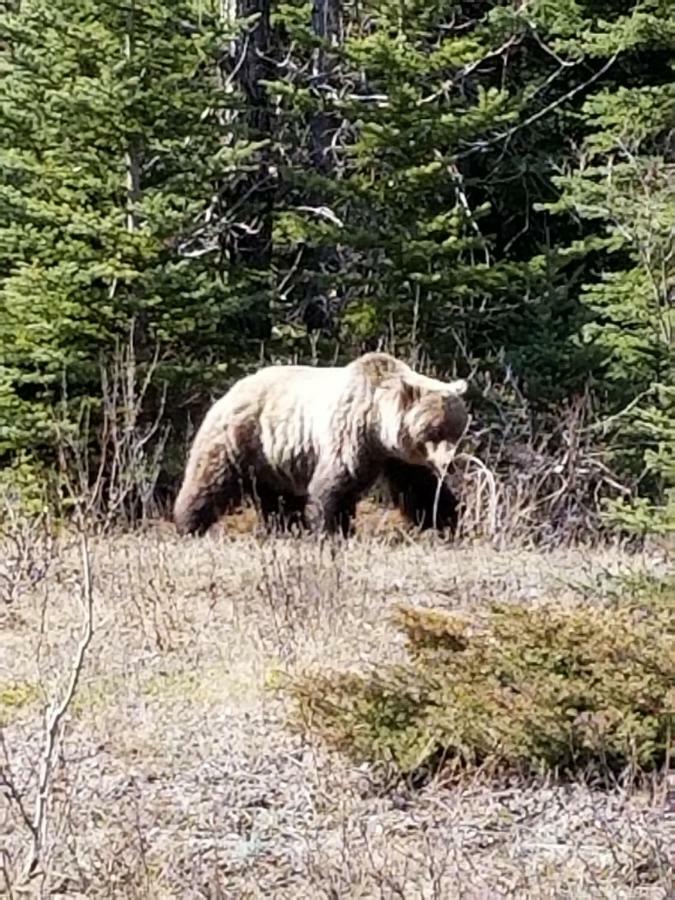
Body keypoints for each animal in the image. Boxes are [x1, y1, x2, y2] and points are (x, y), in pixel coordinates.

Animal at [174, 350, 468, 536]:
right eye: (435, 430)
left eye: (457, 429)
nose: (450, 462)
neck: (377, 425)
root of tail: (231, 390)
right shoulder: (351, 433)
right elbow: (336, 486)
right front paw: (334, 529)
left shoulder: (398, 456)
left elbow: (421, 489)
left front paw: (448, 523)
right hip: (241, 438)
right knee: (211, 481)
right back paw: (187, 525)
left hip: (275, 459)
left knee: (280, 499)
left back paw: (287, 528)